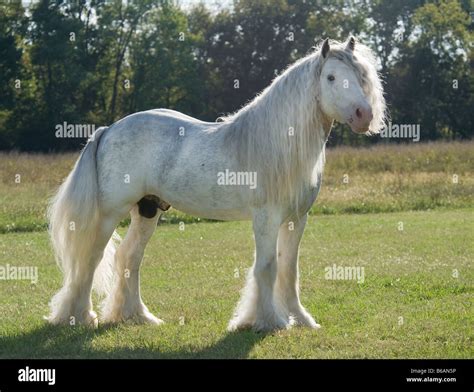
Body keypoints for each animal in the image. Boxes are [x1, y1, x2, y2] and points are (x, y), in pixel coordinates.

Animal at [47, 37, 386, 330]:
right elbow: (267, 267)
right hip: (109, 213)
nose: (363, 115)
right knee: (91, 259)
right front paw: (267, 321)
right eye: (331, 77)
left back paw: (137, 317)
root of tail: (108, 130)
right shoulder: (266, 218)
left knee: (129, 257)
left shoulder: (296, 219)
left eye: (361, 76)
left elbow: (289, 269)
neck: (278, 144)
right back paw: (81, 317)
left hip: (147, 210)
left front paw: (300, 320)